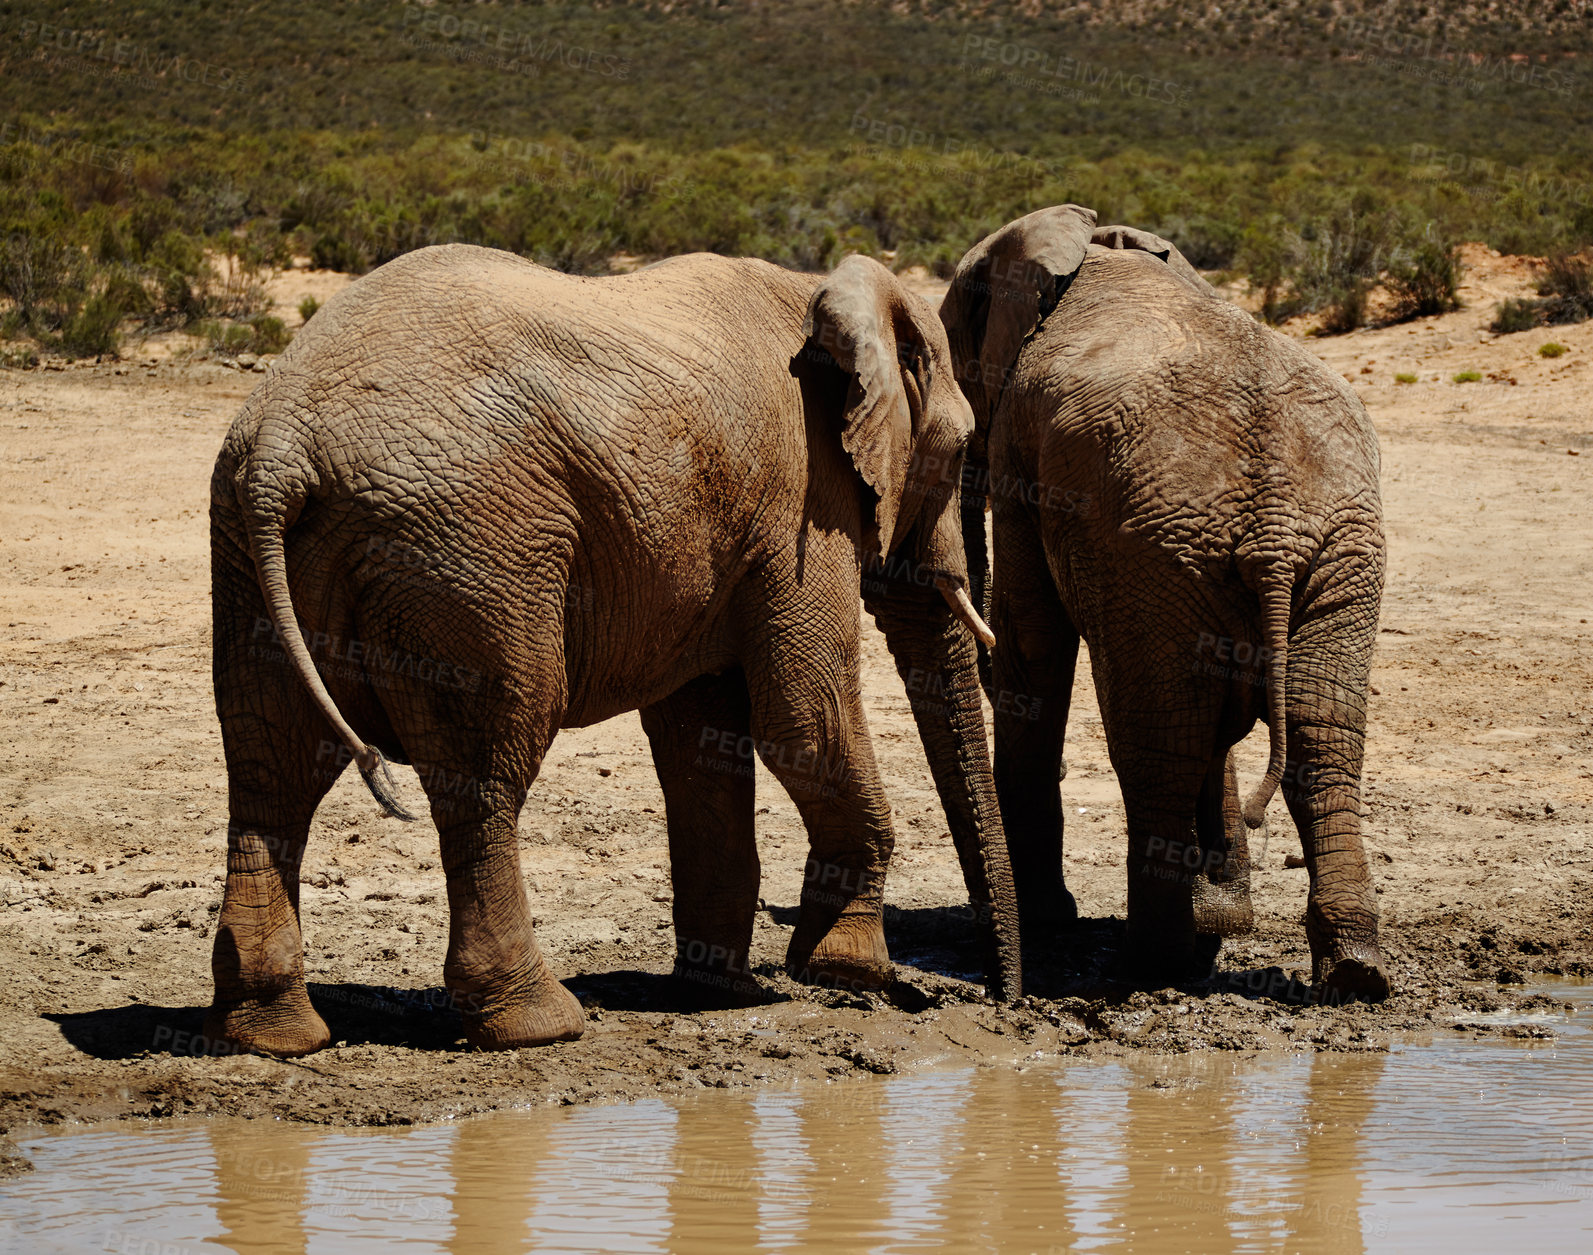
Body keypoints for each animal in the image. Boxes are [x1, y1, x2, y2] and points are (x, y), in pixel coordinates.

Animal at [205, 240, 1019, 1051]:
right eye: (959, 452)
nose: (1000, 999)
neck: (824, 296)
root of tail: (280, 446)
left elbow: (700, 743)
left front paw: (721, 991)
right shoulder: (802, 503)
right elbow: (801, 721)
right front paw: (854, 976)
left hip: (252, 550)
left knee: (271, 765)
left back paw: (273, 1034)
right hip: (469, 557)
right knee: (485, 768)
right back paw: (540, 1024)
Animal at [936, 208, 1389, 1012]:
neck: (1096, 247)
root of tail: (1274, 528)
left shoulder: (1021, 442)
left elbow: (1033, 644)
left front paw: (1050, 919)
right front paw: (1225, 916)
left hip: (1158, 547)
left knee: (1158, 743)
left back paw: (1153, 962)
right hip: (1322, 550)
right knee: (1319, 735)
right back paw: (1351, 973)